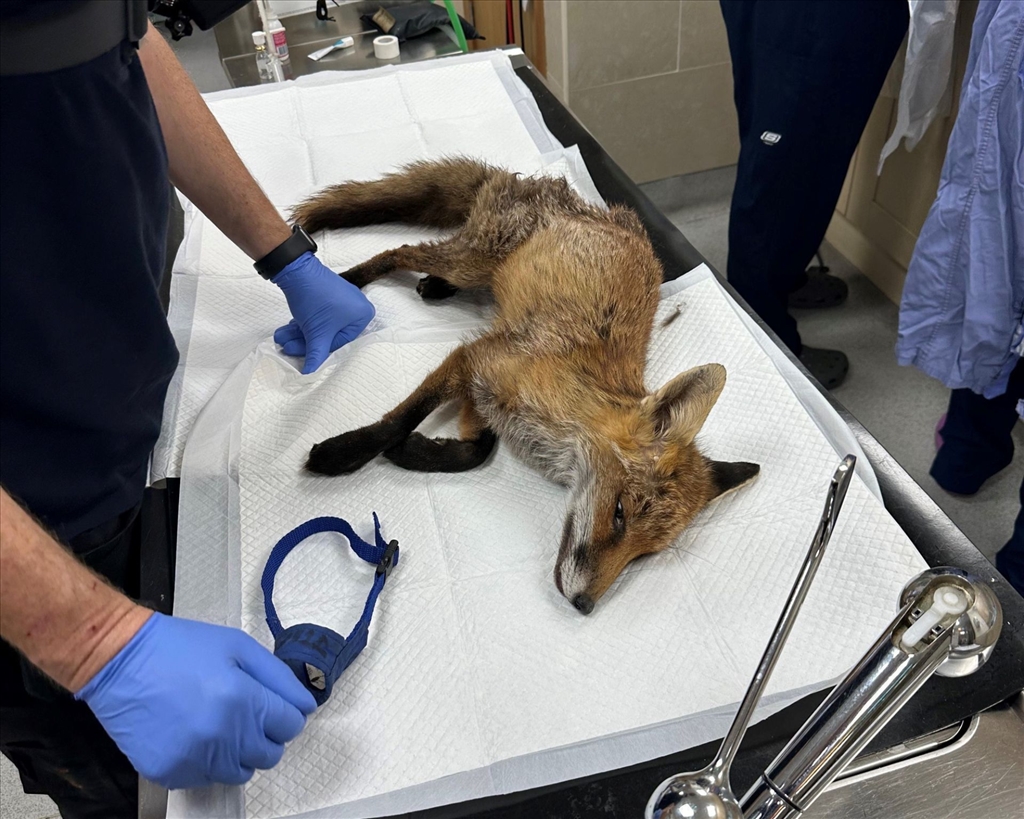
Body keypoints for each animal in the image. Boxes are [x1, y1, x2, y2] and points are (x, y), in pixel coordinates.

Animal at [292, 156, 757, 610]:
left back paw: (433, 287)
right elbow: (400, 420)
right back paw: (347, 282)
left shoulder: (483, 386)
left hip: (473, 268)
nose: (585, 605)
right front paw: (346, 452)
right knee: (400, 251)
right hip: (470, 261)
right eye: (619, 513)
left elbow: (477, 450)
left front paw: (414, 451)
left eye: (644, 554)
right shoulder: (476, 358)